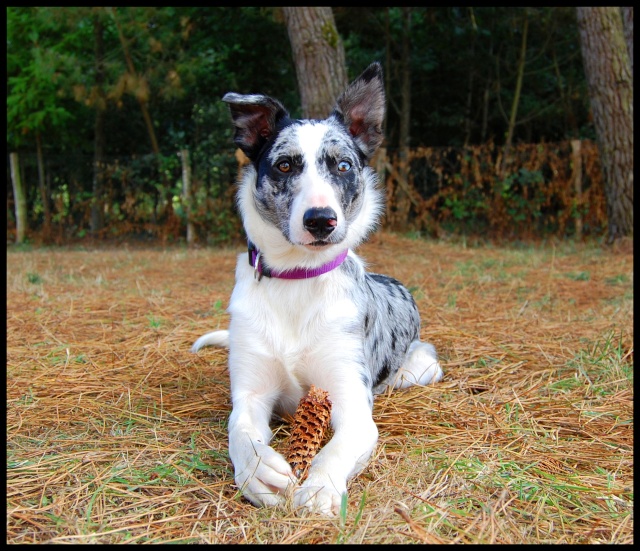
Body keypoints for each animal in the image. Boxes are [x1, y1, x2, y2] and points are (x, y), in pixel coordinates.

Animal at [192, 64, 442, 516]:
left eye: (343, 166)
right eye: (285, 165)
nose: (321, 219)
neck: (298, 278)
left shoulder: (350, 401)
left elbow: (337, 448)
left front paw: (322, 486)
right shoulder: (251, 394)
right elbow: (240, 431)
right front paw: (258, 470)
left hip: (423, 366)